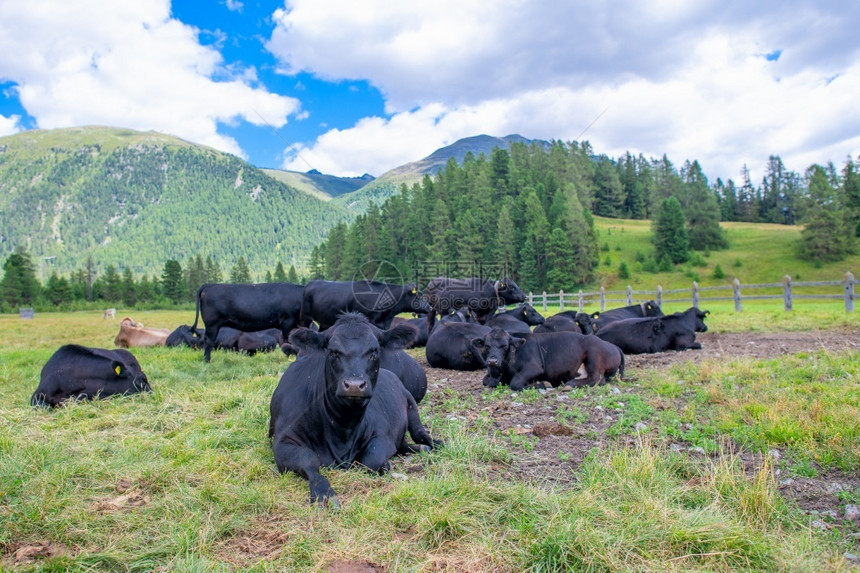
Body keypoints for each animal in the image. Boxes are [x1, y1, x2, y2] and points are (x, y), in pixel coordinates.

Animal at [268, 312, 440, 510]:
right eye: (333, 352)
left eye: (374, 351)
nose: (355, 385)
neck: (342, 428)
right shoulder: (283, 440)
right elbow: (308, 459)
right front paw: (324, 493)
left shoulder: (383, 434)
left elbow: (371, 459)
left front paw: (385, 465)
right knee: (404, 445)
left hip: (412, 407)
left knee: (420, 434)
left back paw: (433, 444)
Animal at [470, 328, 624, 392]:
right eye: (486, 346)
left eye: (505, 345)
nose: (492, 361)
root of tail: (612, 346)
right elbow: (485, 381)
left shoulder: (534, 368)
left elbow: (516, 383)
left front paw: (541, 384)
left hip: (593, 356)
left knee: (597, 378)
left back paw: (571, 384)